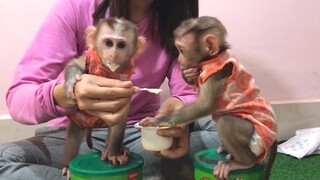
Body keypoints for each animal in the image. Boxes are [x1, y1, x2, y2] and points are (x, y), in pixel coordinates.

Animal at [62, 17, 145, 176]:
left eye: (121, 45)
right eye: (108, 43)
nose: (113, 54)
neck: (107, 71)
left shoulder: (124, 80)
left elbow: (120, 113)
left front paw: (114, 154)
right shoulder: (89, 57)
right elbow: (74, 64)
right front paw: (71, 82)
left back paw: (111, 149)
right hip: (79, 120)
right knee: (73, 136)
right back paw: (68, 165)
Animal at [140, 16, 278, 179]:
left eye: (181, 50)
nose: (179, 60)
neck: (213, 58)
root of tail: (273, 136)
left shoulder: (217, 74)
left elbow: (204, 105)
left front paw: (158, 120)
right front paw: (187, 75)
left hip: (257, 136)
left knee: (226, 122)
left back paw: (243, 162)